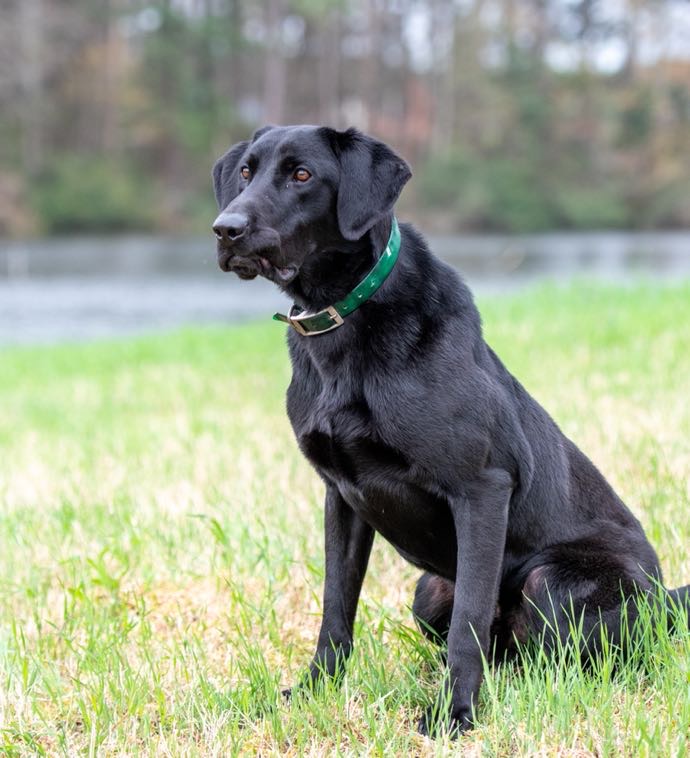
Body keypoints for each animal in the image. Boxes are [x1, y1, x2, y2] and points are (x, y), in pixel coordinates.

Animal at [210, 124, 688, 736]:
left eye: (302, 175)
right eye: (246, 172)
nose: (226, 229)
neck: (344, 319)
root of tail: (668, 600)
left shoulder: (481, 488)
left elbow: (469, 624)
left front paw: (454, 713)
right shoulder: (340, 496)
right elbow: (335, 609)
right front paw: (313, 692)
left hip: (551, 581)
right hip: (429, 590)